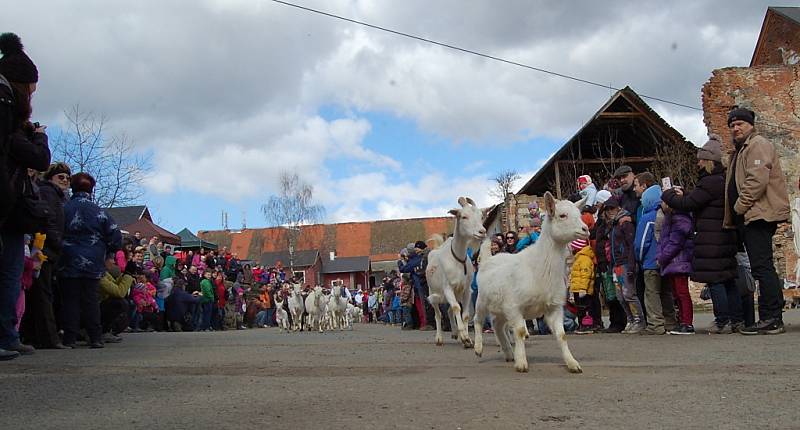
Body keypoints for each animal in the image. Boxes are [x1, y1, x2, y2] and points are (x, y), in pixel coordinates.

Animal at [424, 197, 488, 348]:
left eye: (481, 216)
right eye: (463, 216)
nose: (482, 232)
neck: (458, 259)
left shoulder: (467, 290)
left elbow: (464, 314)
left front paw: (466, 339)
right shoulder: (448, 288)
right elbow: (456, 308)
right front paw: (464, 336)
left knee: (448, 311)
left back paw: (454, 333)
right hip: (432, 292)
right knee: (438, 314)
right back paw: (439, 338)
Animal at [476, 192, 588, 372]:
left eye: (579, 214)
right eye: (562, 215)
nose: (586, 229)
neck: (539, 265)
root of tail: (488, 259)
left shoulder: (554, 306)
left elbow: (562, 335)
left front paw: (572, 363)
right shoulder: (514, 306)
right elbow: (520, 332)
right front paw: (521, 363)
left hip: (500, 307)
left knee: (497, 325)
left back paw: (508, 353)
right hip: (482, 300)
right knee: (477, 320)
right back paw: (478, 348)